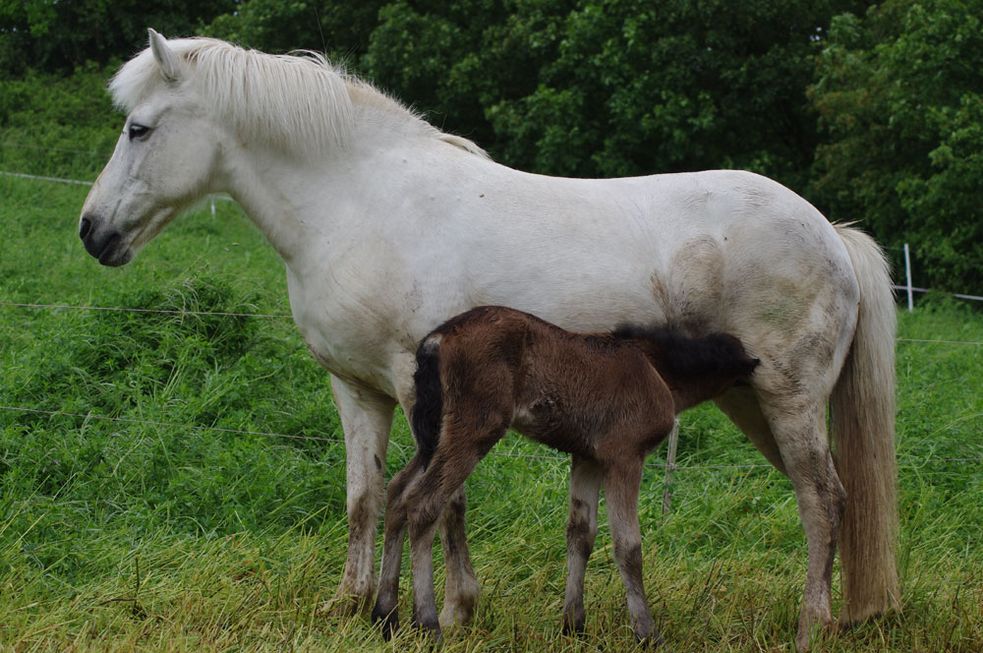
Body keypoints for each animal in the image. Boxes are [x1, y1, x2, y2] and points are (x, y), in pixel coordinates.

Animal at [372, 306, 756, 640]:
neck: (657, 368)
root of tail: (437, 338)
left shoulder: (587, 458)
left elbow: (580, 534)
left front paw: (574, 625)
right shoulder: (624, 457)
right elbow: (628, 546)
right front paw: (646, 633)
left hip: (433, 435)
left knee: (397, 493)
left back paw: (385, 616)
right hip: (474, 429)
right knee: (423, 504)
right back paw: (428, 625)